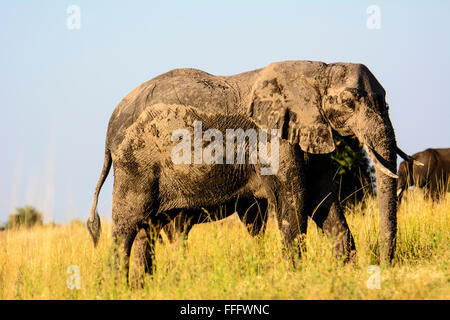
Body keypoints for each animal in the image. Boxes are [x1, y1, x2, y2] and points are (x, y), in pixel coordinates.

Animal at [87, 60, 414, 280]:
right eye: (348, 102)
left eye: (386, 102)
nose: (383, 266)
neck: (317, 71)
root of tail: (109, 126)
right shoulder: (274, 137)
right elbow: (295, 202)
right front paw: (295, 279)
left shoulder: (311, 130)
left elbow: (323, 200)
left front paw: (345, 274)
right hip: (136, 164)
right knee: (127, 226)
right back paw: (119, 287)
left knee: (149, 230)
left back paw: (142, 288)